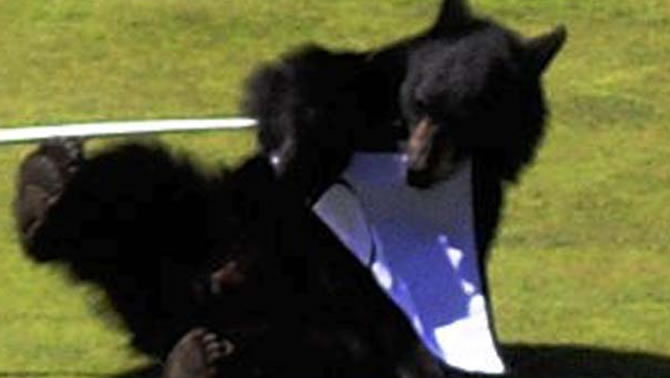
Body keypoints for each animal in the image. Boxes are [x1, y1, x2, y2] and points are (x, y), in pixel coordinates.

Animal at [13, 0, 568, 376]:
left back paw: (199, 358)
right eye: (421, 101)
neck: (389, 134)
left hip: (315, 325)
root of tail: (178, 308)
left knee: (313, 348)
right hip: (191, 221)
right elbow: (301, 79)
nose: (417, 167)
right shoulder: (367, 81)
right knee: (134, 177)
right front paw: (301, 150)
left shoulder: (481, 194)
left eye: (465, 118)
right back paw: (42, 192)